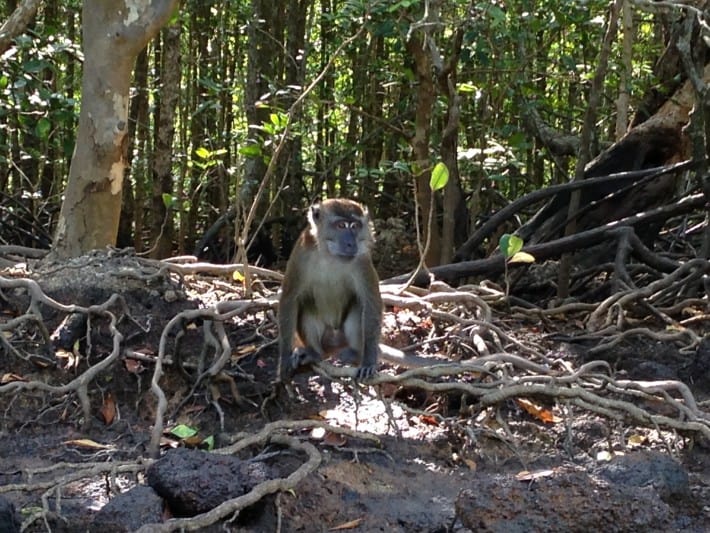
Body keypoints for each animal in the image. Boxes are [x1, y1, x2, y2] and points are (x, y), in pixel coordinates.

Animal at [280, 197, 450, 380]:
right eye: (341, 225)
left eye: (354, 226)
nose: (351, 243)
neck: (331, 256)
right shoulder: (301, 253)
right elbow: (290, 298)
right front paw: (284, 361)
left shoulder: (362, 260)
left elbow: (371, 302)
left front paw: (369, 361)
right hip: (326, 340)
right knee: (306, 306)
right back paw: (314, 353)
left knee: (358, 306)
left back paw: (355, 353)